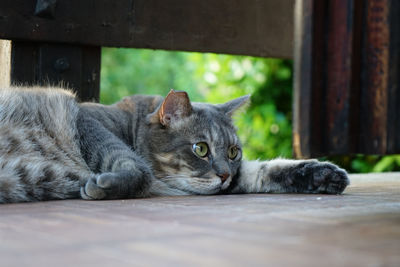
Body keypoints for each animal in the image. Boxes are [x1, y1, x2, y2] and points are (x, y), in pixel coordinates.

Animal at [0, 87, 348, 204]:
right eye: (201, 149)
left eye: (233, 152)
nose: (224, 175)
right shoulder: (85, 117)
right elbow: (136, 168)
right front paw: (104, 186)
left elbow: (265, 170)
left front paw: (325, 174)